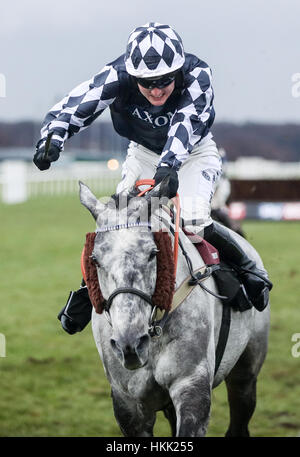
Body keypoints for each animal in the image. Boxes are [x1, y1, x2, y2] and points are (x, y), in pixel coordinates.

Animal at [79, 180, 270, 436]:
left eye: (153, 253)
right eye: (95, 260)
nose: (130, 344)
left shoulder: (191, 385)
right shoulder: (127, 401)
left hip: (245, 373)